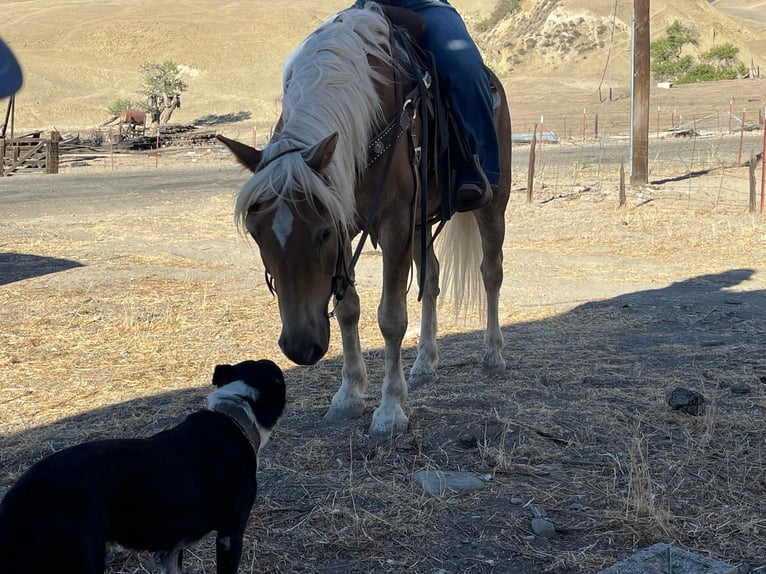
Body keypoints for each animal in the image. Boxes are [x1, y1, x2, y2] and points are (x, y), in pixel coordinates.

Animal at [219, 3, 512, 436]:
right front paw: (348, 396)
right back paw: (425, 363)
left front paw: (389, 410)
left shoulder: (393, 224)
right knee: (431, 278)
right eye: (257, 235)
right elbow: (347, 310)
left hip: (492, 203)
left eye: (321, 232)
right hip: (422, 222)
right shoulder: (356, 220)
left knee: (491, 272)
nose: (300, 347)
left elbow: (390, 317)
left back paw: (493, 354)